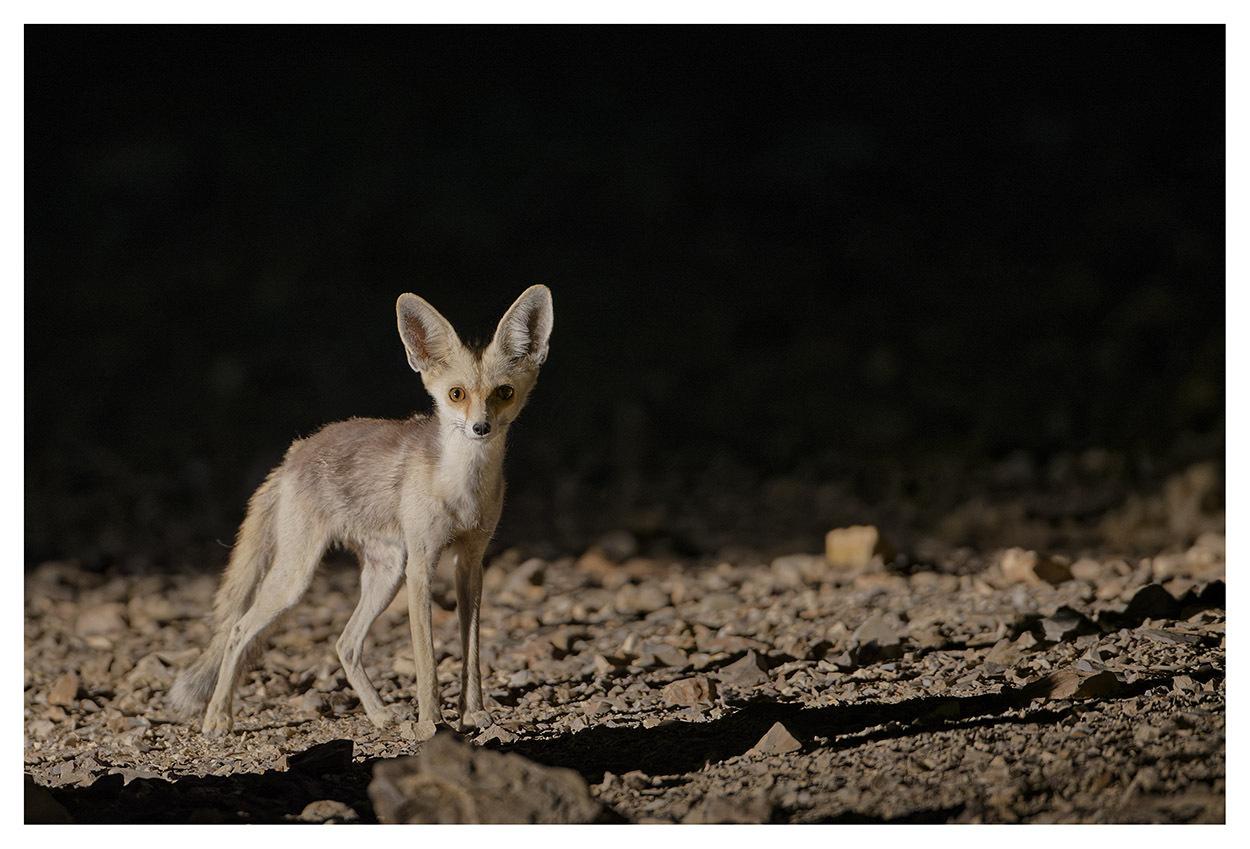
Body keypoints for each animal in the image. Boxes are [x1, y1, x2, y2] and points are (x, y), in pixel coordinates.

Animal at [168, 285, 554, 738]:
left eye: (504, 393)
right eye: (456, 394)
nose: (480, 428)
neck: (462, 491)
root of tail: (294, 454)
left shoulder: (470, 562)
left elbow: (471, 651)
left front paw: (473, 714)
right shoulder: (421, 565)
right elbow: (426, 660)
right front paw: (430, 722)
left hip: (385, 574)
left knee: (344, 643)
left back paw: (380, 715)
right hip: (299, 577)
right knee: (238, 629)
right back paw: (217, 717)